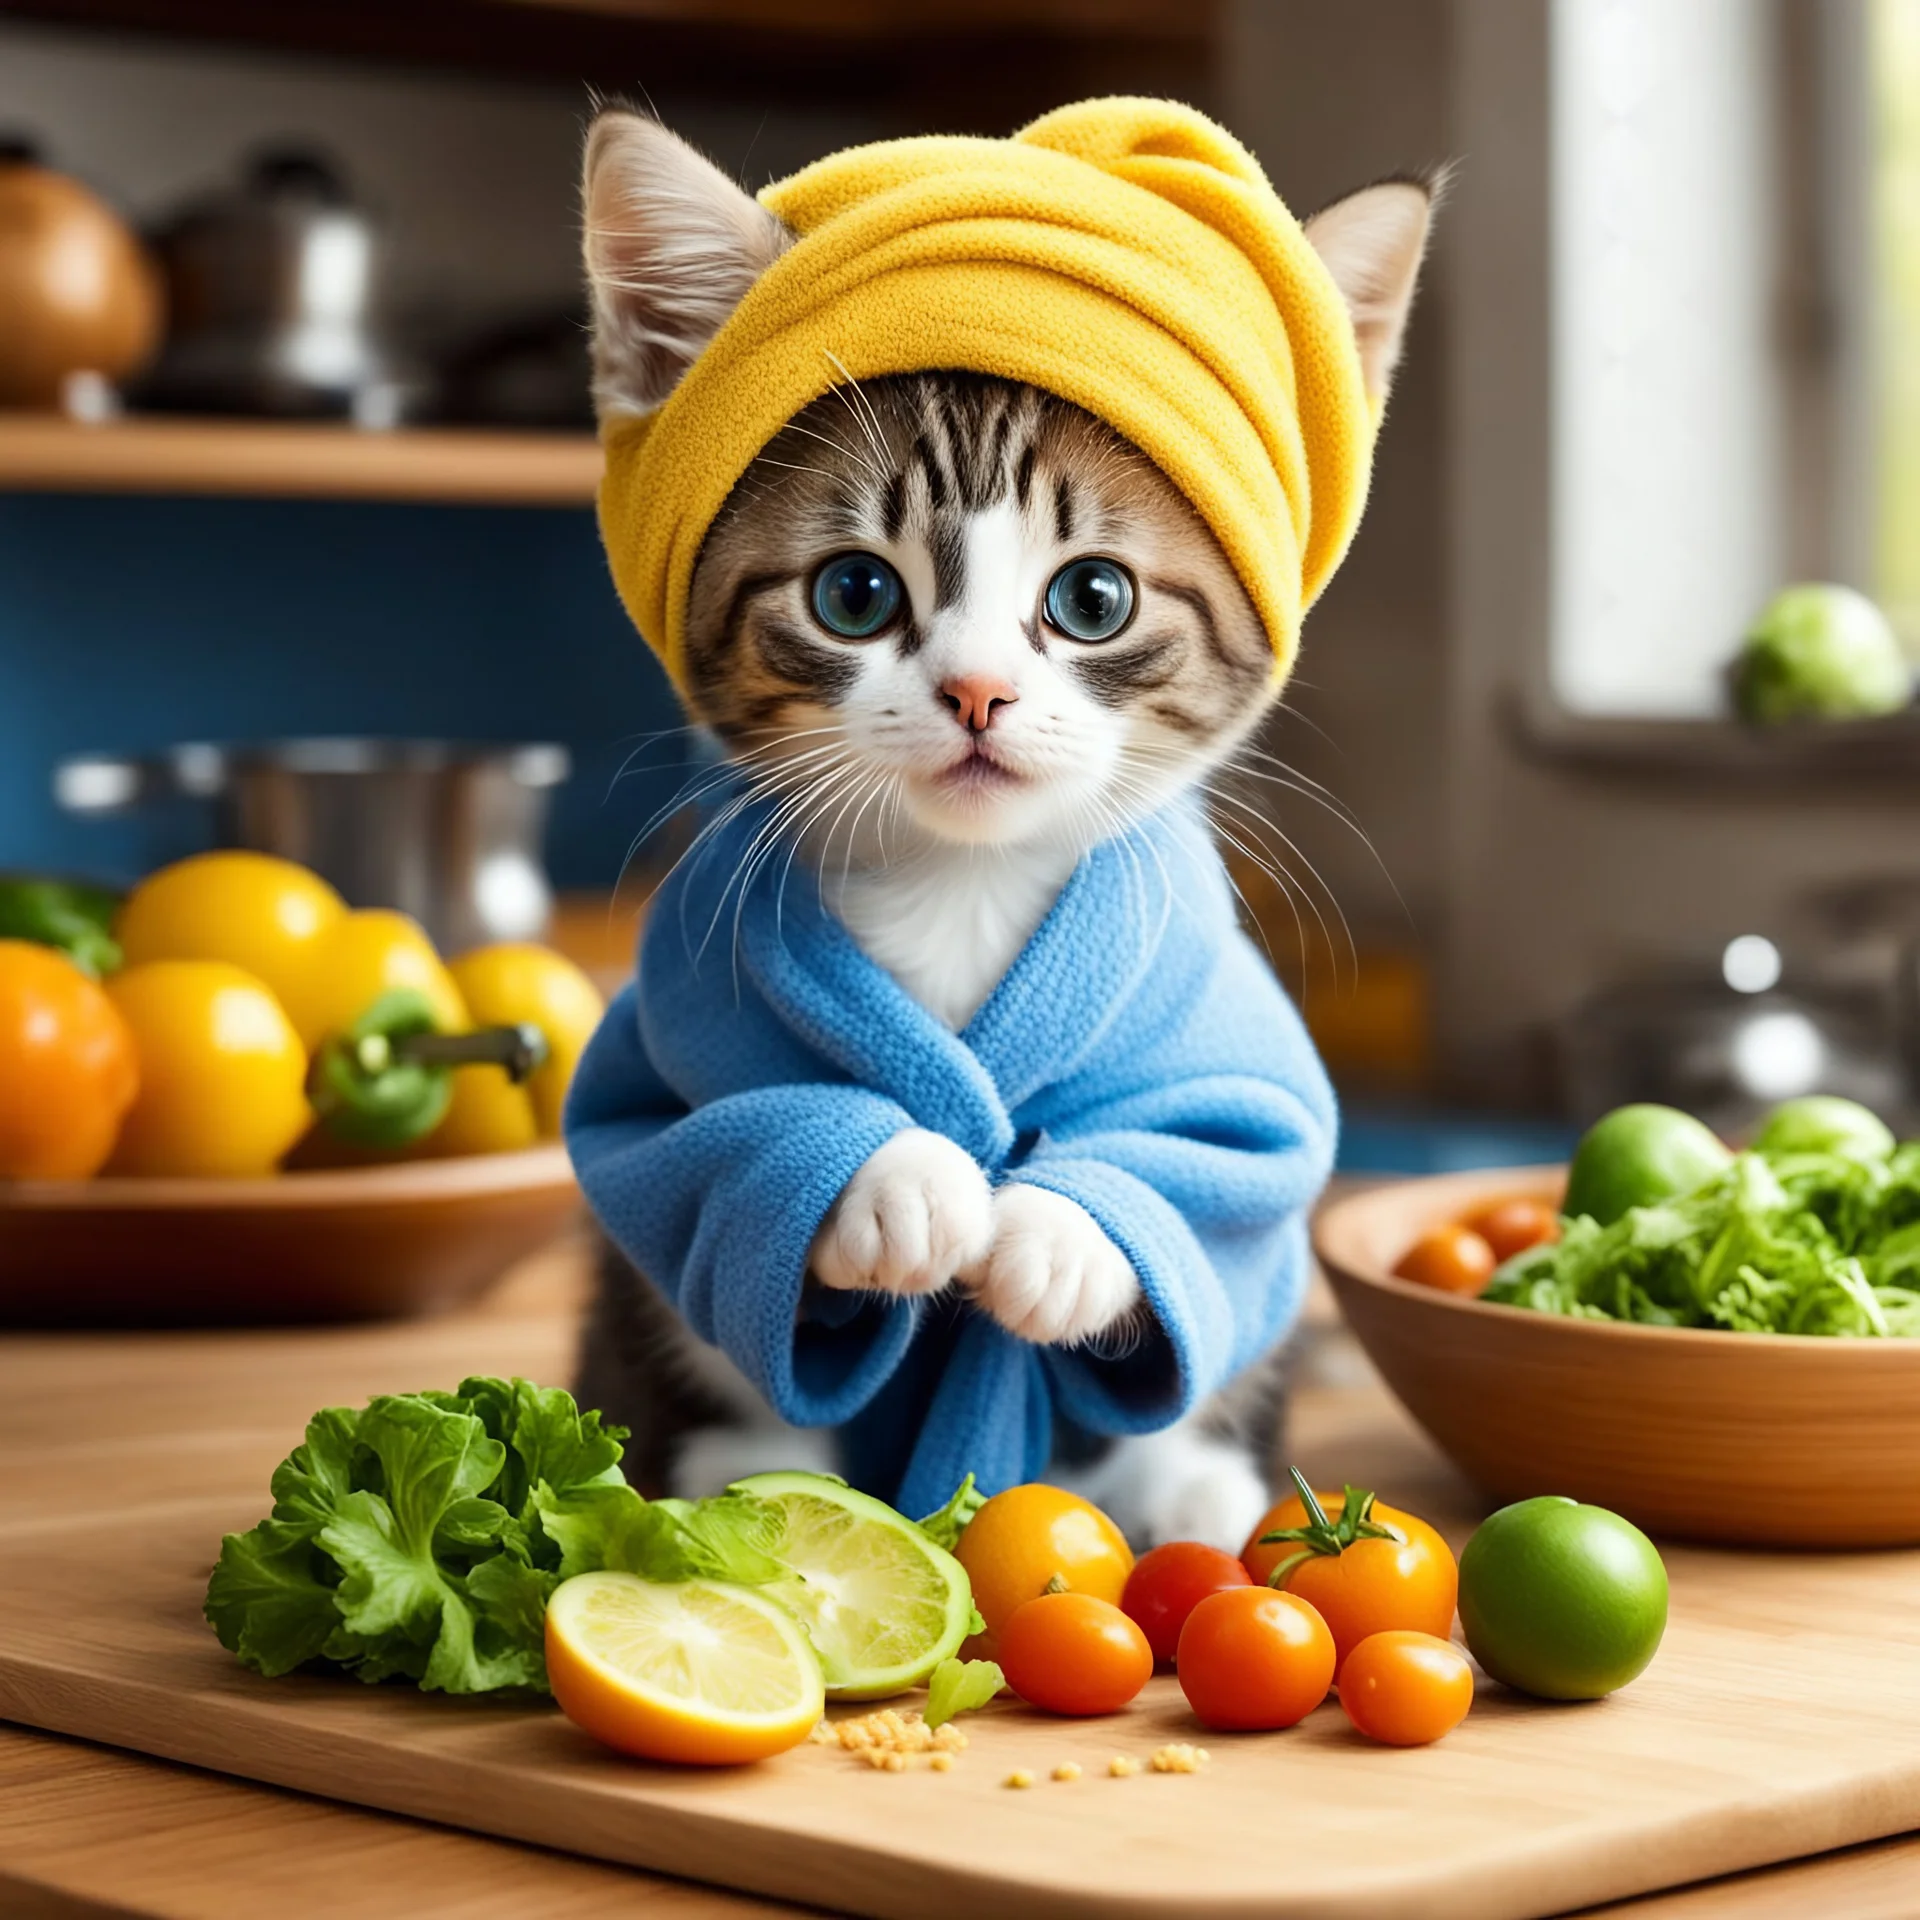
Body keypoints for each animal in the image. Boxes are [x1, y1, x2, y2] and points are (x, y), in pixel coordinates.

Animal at [560, 112, 1436, 1543]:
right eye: (855, 595)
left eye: (1093, 599)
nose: (978, 692)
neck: (961, 884)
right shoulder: (675, 1031)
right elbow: (697, 1147)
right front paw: (897, 1183)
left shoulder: (1229, 1048)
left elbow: (1224, 1151)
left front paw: (1063, 1236)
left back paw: (1195, 1488)